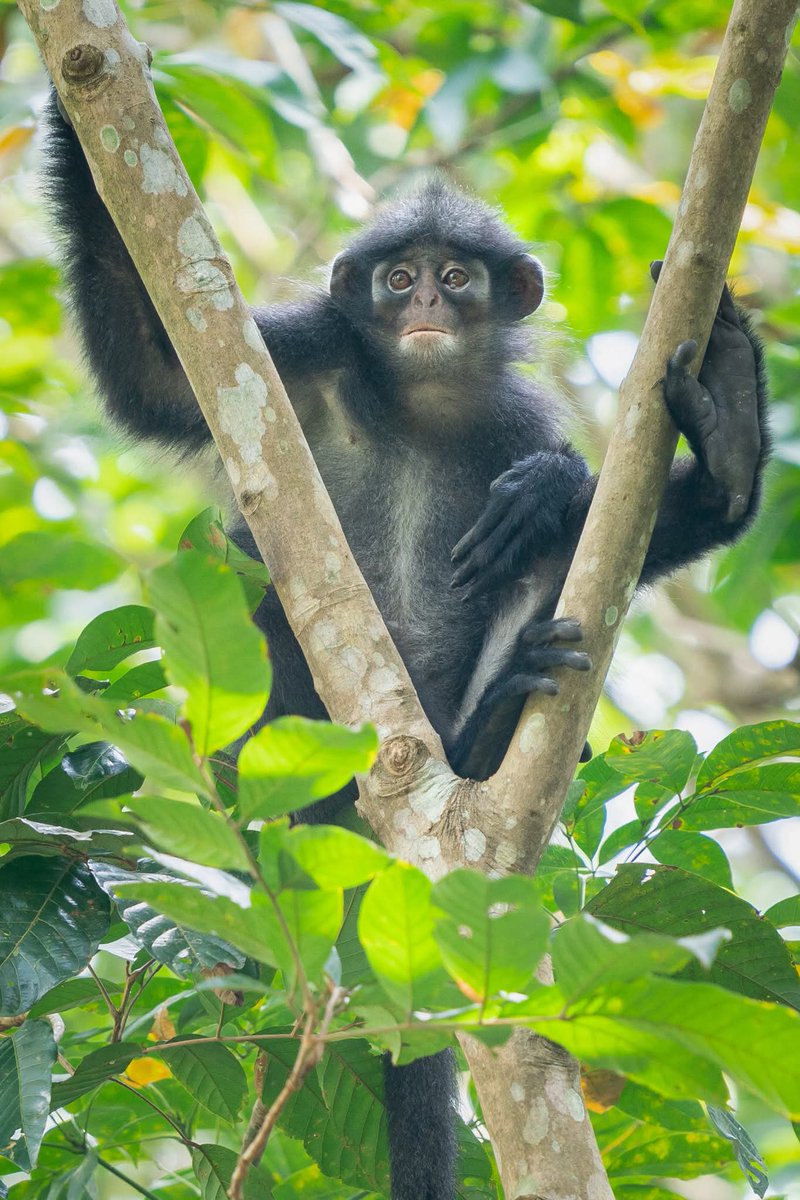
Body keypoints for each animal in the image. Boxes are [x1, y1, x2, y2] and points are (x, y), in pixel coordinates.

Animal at [43, 91, 767, 1200]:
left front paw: (572, 478)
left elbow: (598, 529)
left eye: (456, 277)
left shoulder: (516, 417)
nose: (423, 299)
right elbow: (152, 372)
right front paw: (76, 93)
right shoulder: (312, 349)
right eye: (396, 280)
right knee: (259, 569)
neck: (423, 399)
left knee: (547, 565)